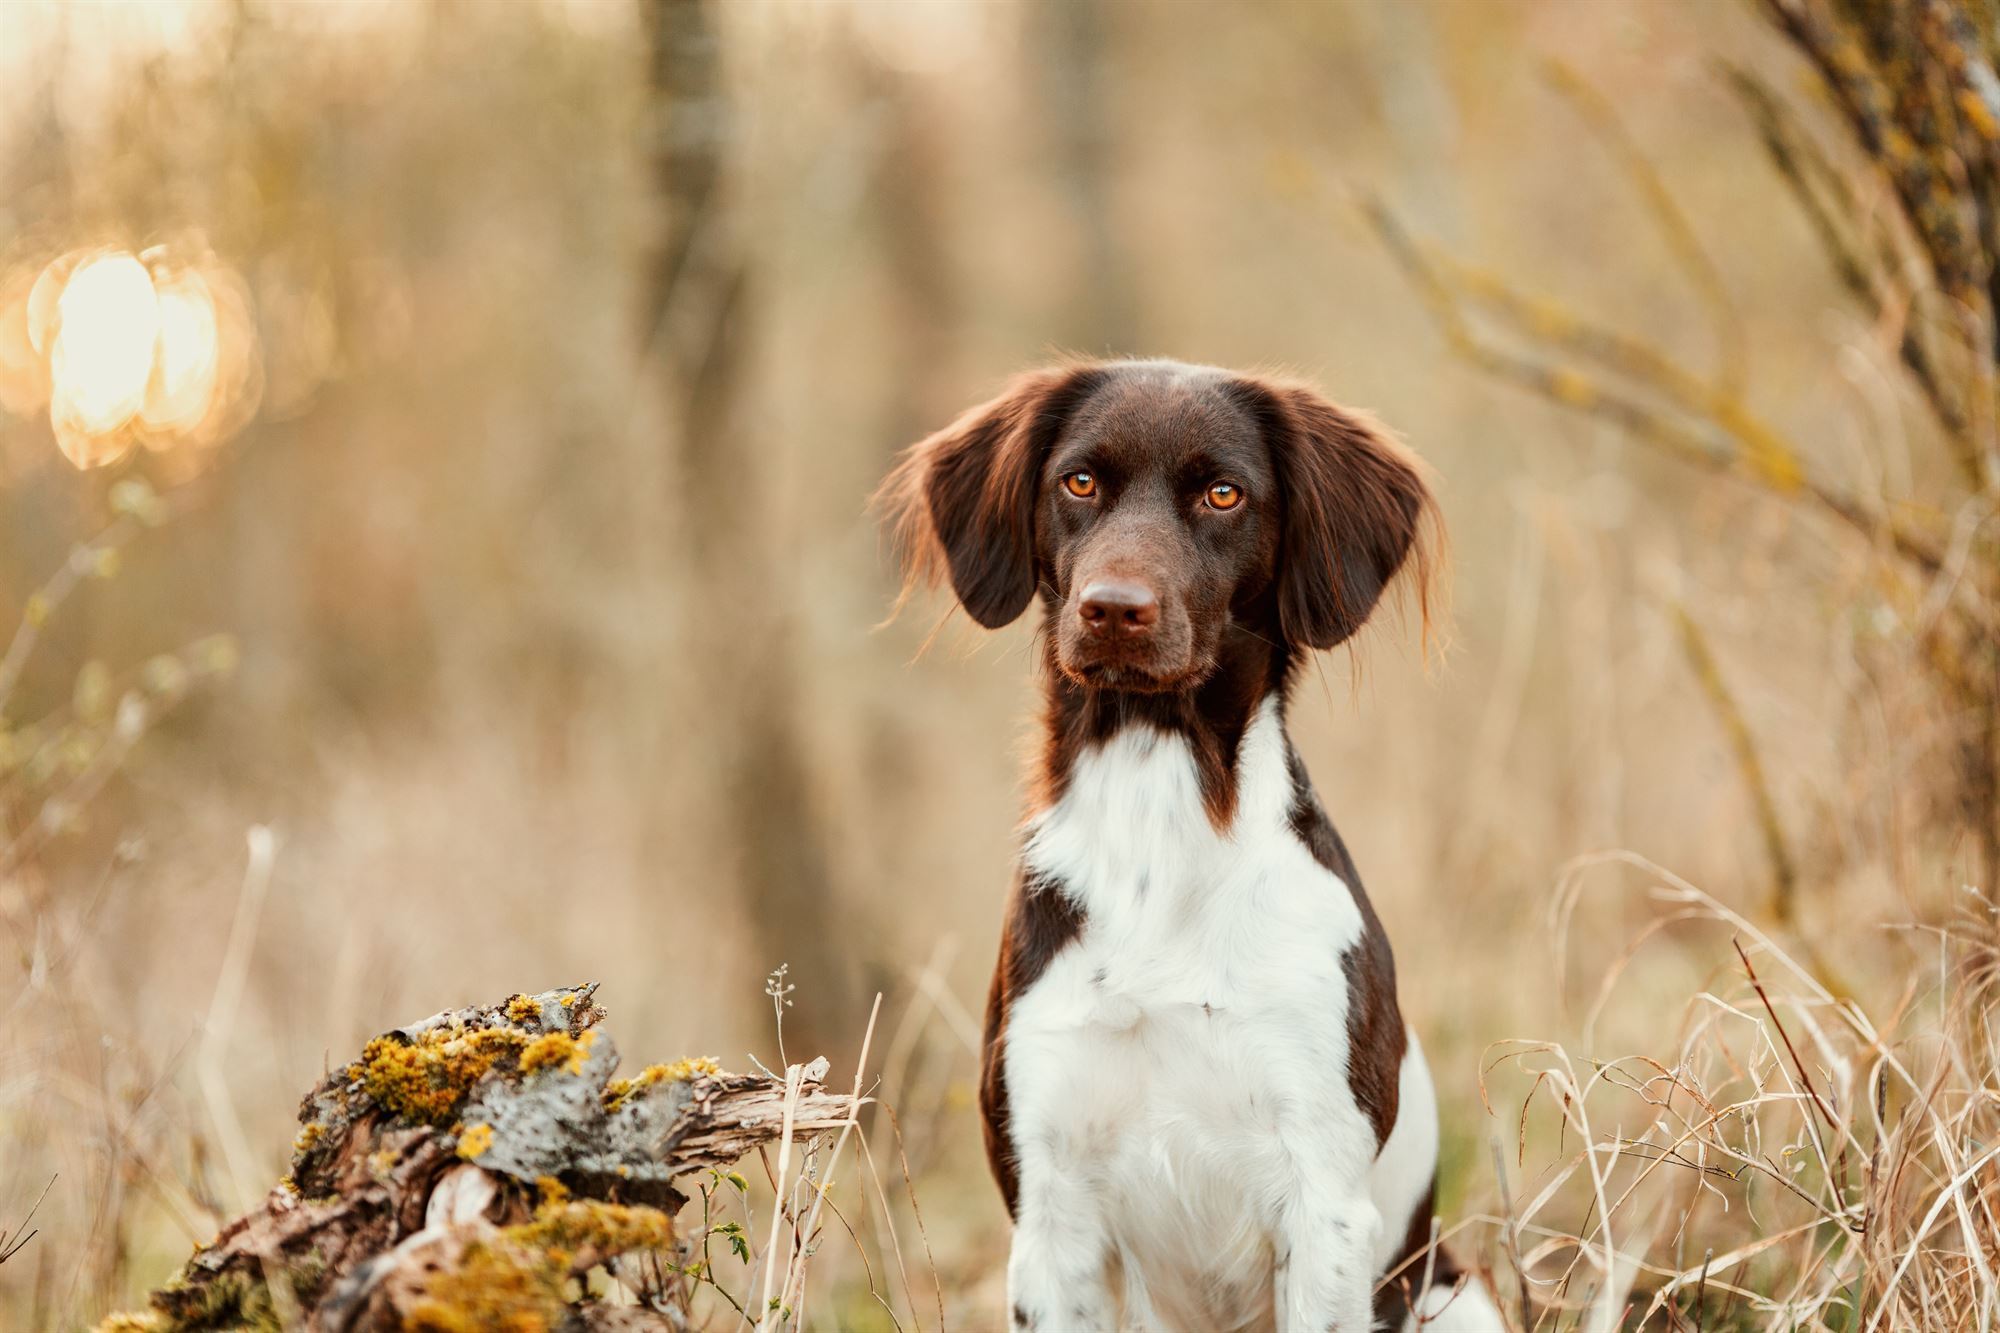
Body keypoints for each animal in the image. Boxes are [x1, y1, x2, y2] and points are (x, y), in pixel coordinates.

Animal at [880, 358, 1504, 1320]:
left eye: (1223, 494)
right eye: (1079, 481)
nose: (1112, 609)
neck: (1158, 826)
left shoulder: (1325, 1205)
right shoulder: (1048, 1210)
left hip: (1453, 1295)